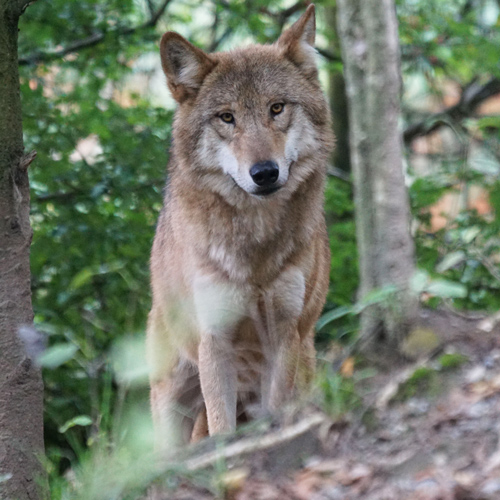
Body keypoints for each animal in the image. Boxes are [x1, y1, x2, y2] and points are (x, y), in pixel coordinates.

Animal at [146, 3, 334, 450]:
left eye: (277, 108)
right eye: (227, 117)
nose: (264, 173)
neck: (256, 248)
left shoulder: (284, 333)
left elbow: (277, 409)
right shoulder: (215, 340)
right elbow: (221, 427)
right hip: (171, 398)